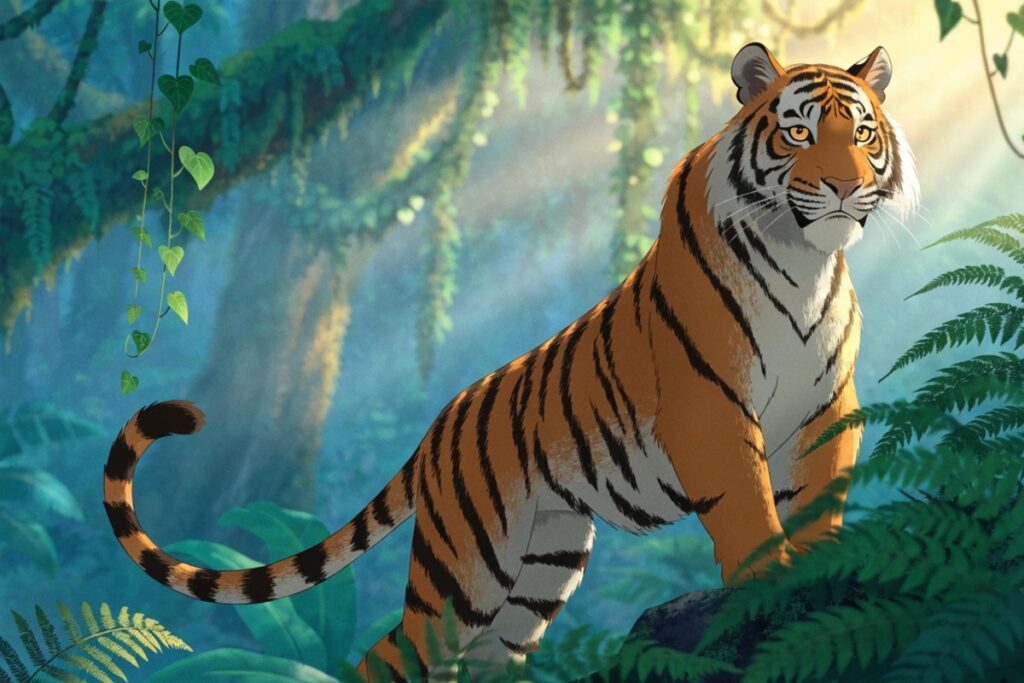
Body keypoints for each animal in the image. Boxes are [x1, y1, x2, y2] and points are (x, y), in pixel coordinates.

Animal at [103, 43, 918, 681]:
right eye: (798, 131)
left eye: (863, 132)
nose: (846, 187)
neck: (803, 257)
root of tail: (436, 428)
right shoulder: (709, 406)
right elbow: (748, 510)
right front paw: (766, 585)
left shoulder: (826, 403)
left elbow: (820, 493)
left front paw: (822, 571)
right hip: (465, 576)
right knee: (389, 655)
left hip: (540, 568)